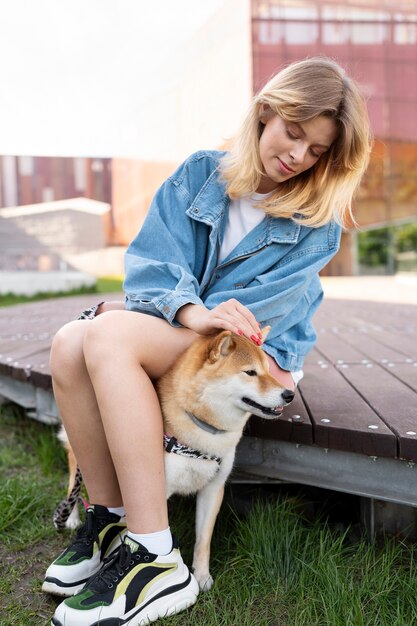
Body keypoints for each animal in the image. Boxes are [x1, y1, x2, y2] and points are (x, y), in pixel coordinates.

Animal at [57, 326, 294, 588]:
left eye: (269, 371)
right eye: (250, 372)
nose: (289, 394)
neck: (203, 432)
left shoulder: (213, 488)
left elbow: (203, 540)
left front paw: (201, 575)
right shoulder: (155, 489)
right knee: (75, 478)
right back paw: (71, 517)